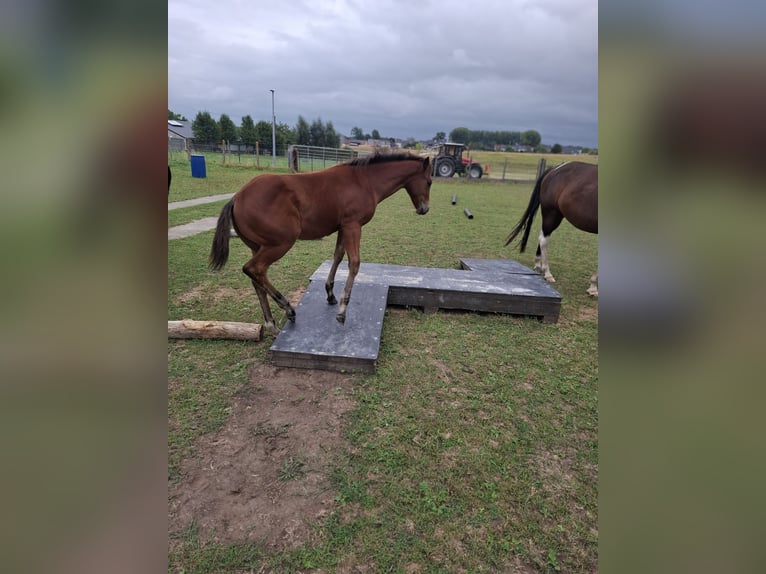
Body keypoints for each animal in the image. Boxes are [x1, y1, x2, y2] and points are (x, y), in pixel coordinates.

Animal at [209, 152, 432, 333]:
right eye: (429, 181)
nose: (424, 209)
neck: (364, 181)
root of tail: (236, 198)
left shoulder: (343, 227)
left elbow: (338, 256)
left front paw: (330, 294)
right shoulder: (353, 226)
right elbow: (354, 263)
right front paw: (342, 310)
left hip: (257, 246)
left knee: (257, 279)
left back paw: (271, 322)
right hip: (280, 243)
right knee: (253, 269)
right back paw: (288, 308)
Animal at [505, 161, 598, 296]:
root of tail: (554, 169)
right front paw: (593, 285)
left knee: (542, 236)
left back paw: (538, 264)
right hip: (552, 213)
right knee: (544, 239)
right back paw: (547, 272)